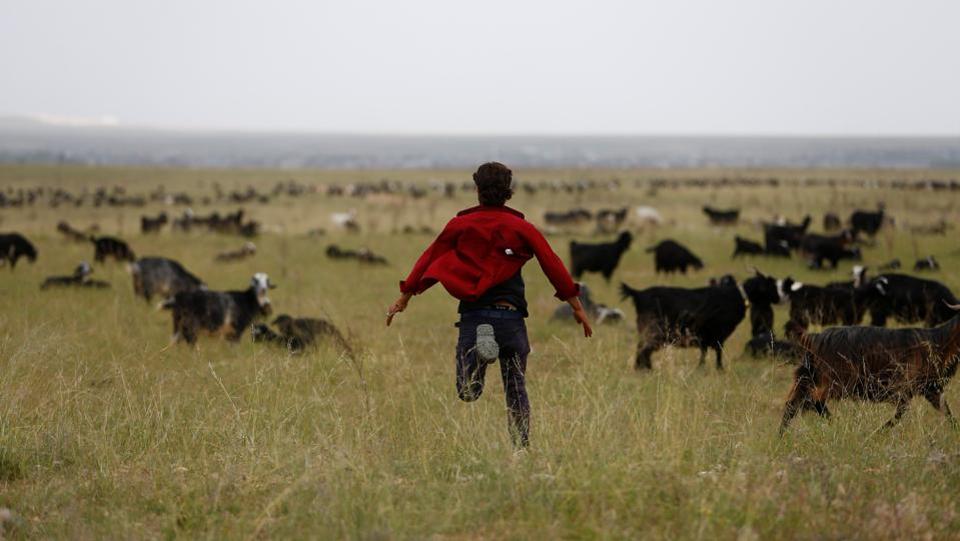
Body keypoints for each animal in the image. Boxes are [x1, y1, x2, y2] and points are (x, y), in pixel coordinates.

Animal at [780, 304, 960, 434]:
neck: (940, 342)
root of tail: (814, 338)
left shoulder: (930, 388)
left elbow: (947, 411)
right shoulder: (906, 386)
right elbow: (900, 413)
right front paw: (878, 432)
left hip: (808, 376)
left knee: (793, 404)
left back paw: (782, 436)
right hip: (837, 380)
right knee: (814, 400)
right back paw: (836, 424)